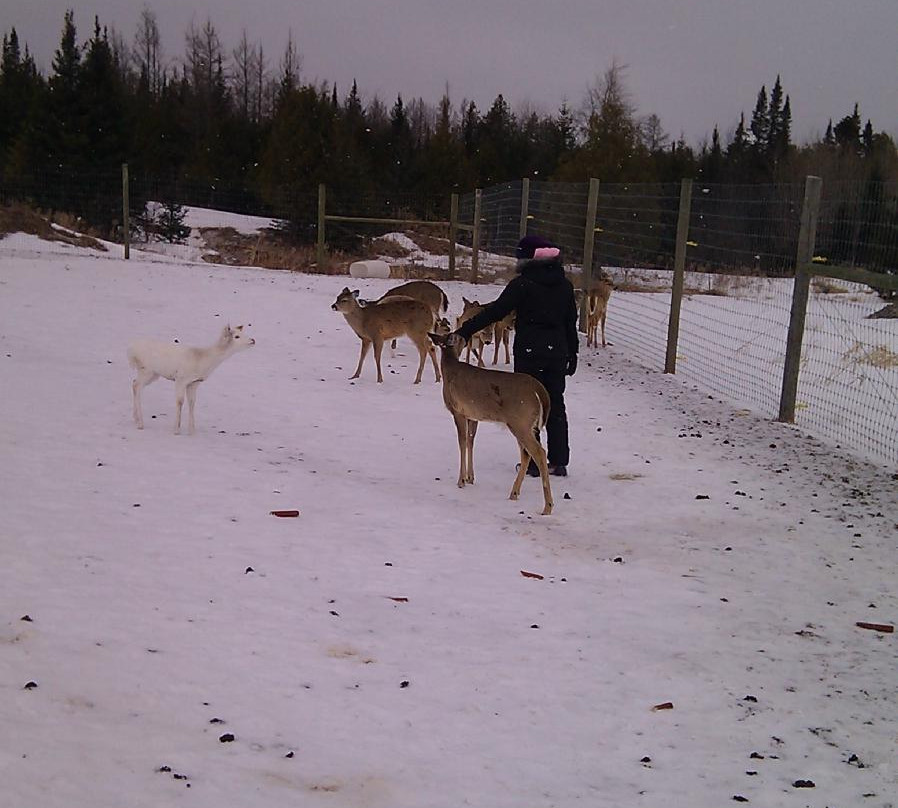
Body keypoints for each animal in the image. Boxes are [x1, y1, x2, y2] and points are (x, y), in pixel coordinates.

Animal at [429, 331, 553, 516]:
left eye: (457, 338)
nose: (465, 337)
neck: (450, 371)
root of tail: (539, 390)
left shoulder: (458, 411)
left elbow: (462, 442)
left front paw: (461, 481)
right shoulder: (473, 416)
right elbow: (470, 441)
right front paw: (470, 477)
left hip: (520, 422)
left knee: (539, 452)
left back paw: (547, 507)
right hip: (524, 425)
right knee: (526, 454)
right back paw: (514, 493)